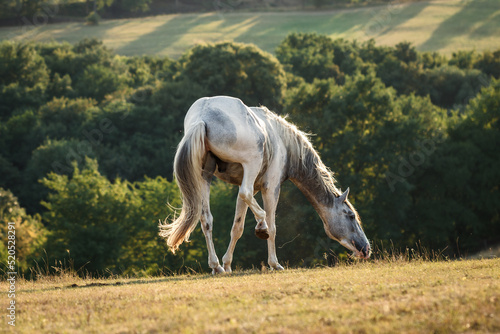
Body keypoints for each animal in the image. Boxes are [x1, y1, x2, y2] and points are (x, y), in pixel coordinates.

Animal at [160, 95, 372, 272]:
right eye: (351, 216)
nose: (366, 249)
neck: (285, 143)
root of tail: (202, 117)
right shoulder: (270, 187)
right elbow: (273, 226)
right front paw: (274, 263)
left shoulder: (251, 188)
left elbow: (237, 227)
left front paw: (227, 264)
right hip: (251, 163)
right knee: (250, 202)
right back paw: (260, 227)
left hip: (205, 177)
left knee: (206, 219)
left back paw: (216, 266)